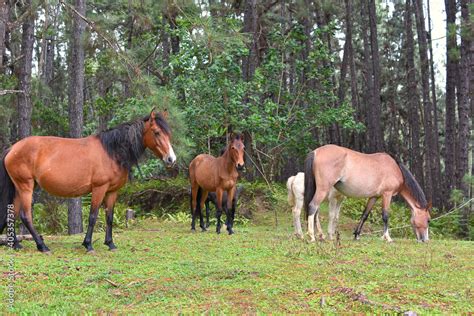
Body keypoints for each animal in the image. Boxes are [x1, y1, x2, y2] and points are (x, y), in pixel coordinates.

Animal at [0, 110, 176, 253]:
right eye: (156, 132)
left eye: (168, 134)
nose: (171, 159)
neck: (112, 152)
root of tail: (12, 149)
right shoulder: (99, 189)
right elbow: (93, 216)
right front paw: (88, 245)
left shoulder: (112, 191)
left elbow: (109, 217)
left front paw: (110, 244)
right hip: (26, 187)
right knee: (25, 215)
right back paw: (42, 246)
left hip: (19, 188)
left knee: (13, 213)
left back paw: (16, 244)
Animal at [304, 145, 434, 242]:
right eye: (428, 220)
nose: (425, 240)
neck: (395, 169)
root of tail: (316, 151)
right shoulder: (387, 195)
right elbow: (385, 215)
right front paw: (387, 237)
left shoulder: (374, 197)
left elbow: (365, 215)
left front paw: (357, 235)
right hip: (323, 189)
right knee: (313, 207)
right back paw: (312, 236)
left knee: (316, 211)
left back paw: (320, 235)